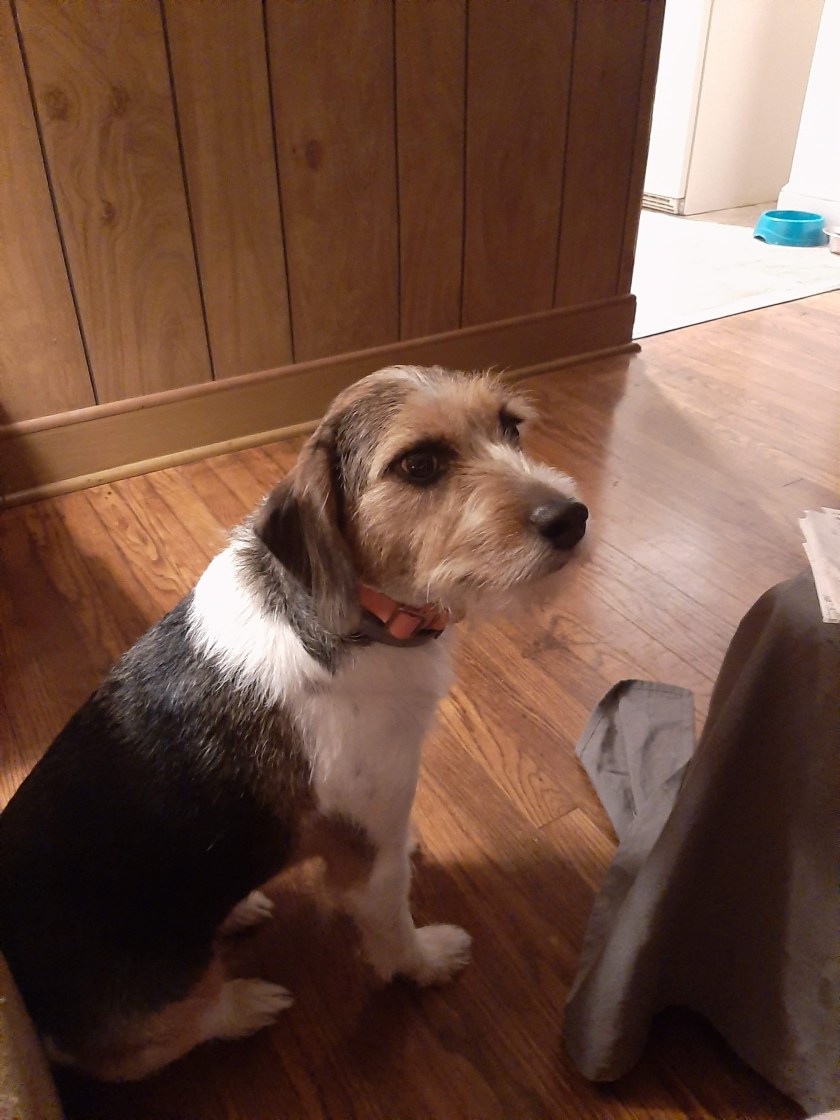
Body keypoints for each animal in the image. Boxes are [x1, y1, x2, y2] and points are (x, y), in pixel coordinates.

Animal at [0, 364, 587, 1082]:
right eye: (418, 464)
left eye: (509, 427)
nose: (572, 517)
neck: (358, 618)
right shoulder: (368, 854)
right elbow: (393, 926)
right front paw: (425, 962)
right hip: (158, 1001)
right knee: (155, 1040)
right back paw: (245, 1002)